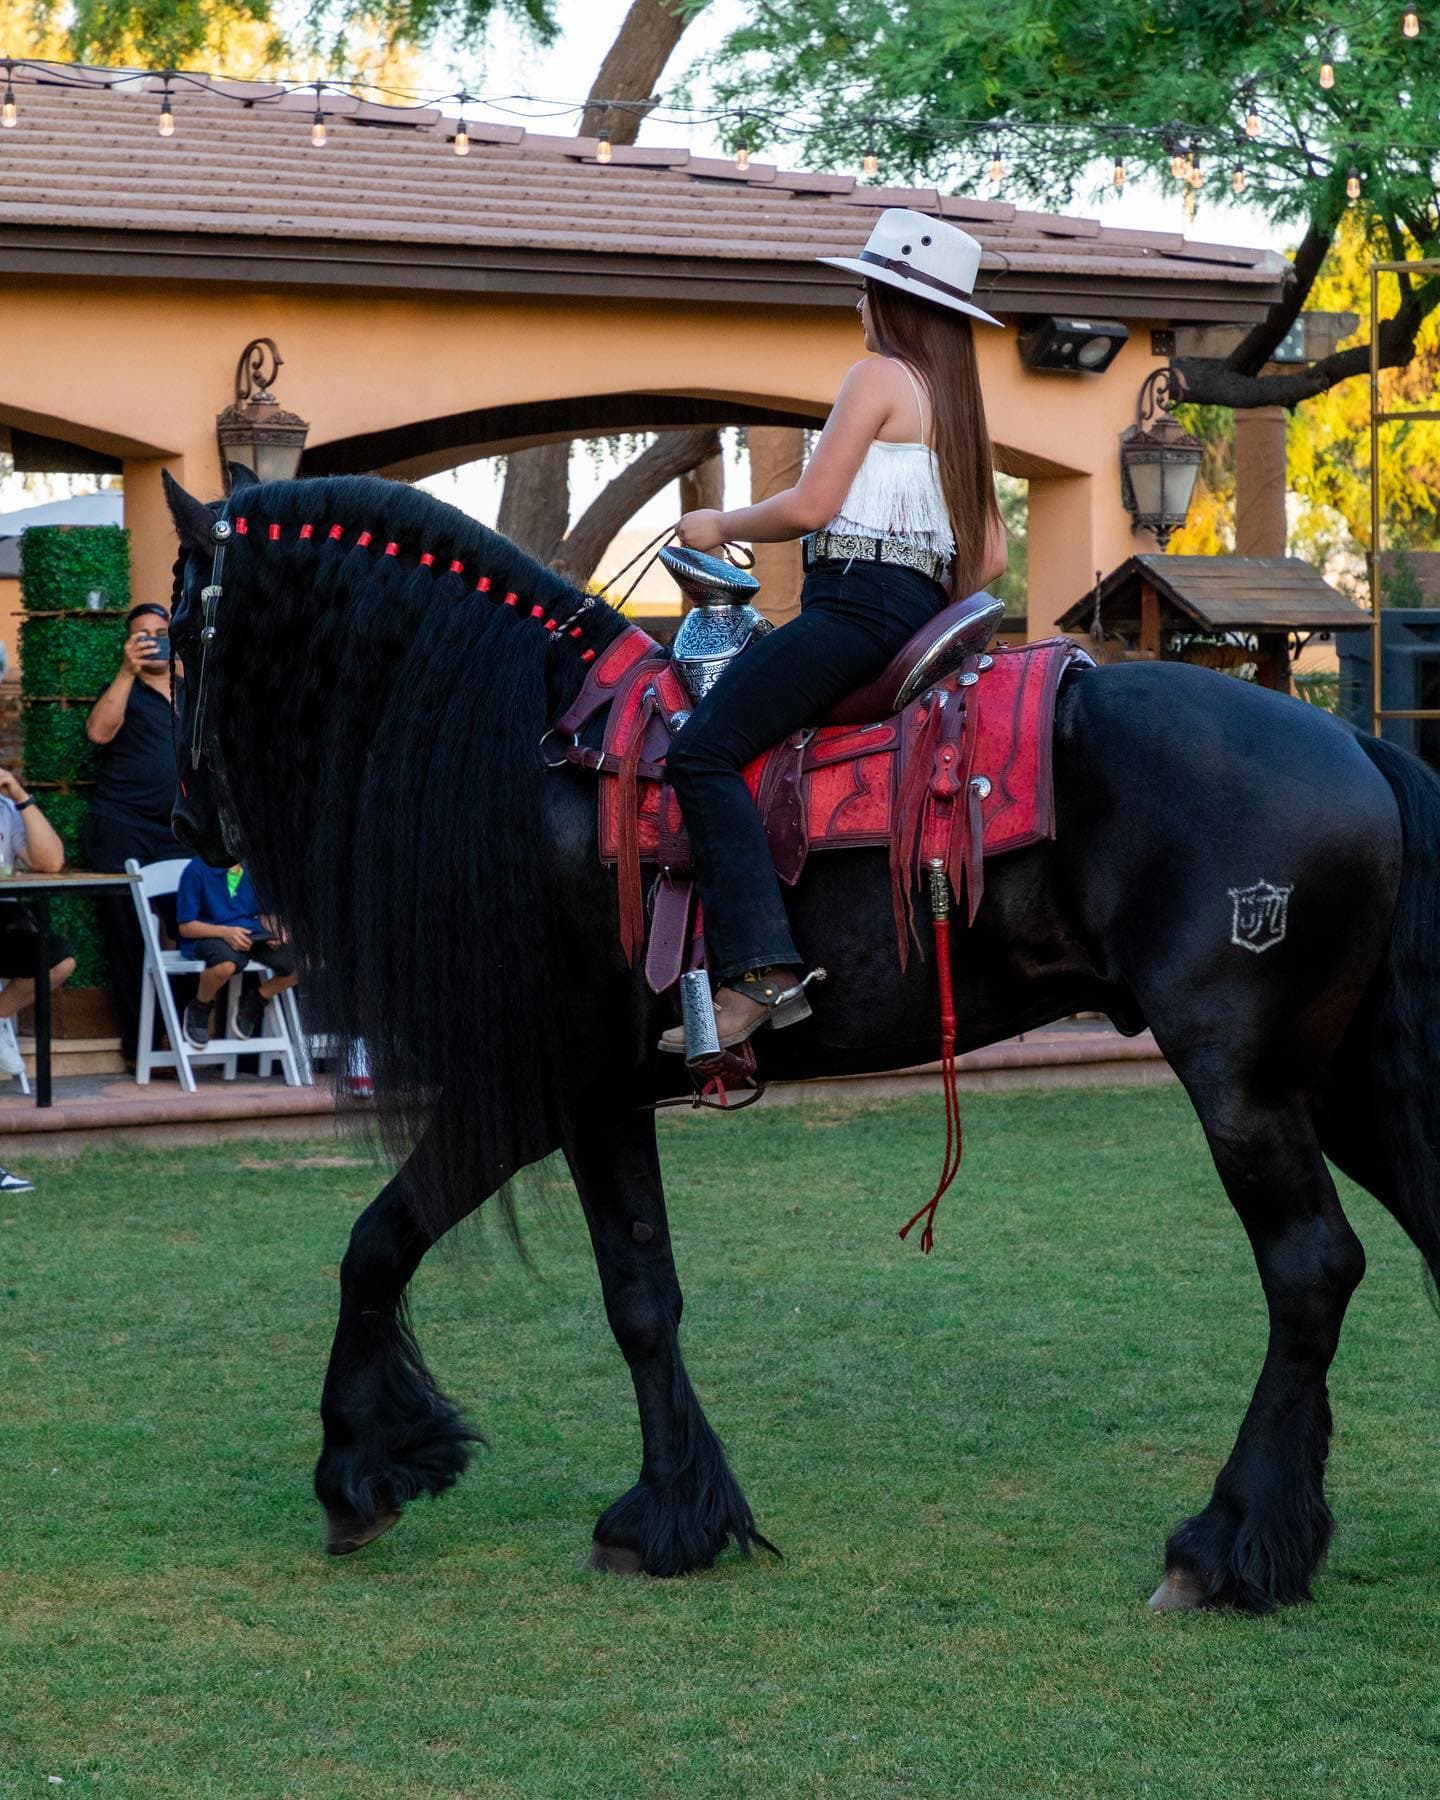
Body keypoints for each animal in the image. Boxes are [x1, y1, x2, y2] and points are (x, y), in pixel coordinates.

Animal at [161, 469, 1440, 1613]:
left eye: (175, 632)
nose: (184, 819)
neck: (539, 756)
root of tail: (1356, 747)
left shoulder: (540, 1085)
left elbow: (381, 1243)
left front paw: (360, 1469)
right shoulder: (611, 1095)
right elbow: (642, 1293)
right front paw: (674, 1515)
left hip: (1243, 1084)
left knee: (1310, 1271)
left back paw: (1225, 1545)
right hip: (1332, 1083)